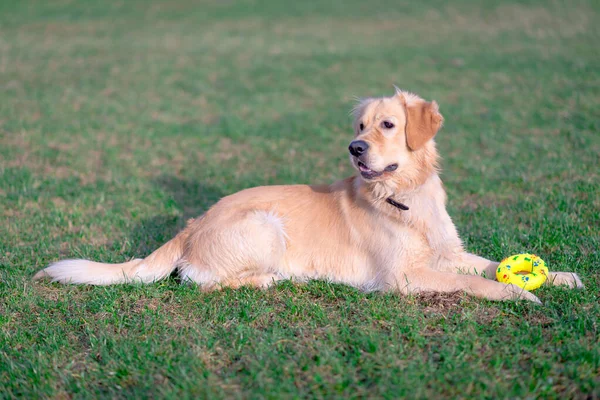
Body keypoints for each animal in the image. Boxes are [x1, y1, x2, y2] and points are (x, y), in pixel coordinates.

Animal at [32, 89, 580, 304]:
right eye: (359, 127)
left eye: (387, 125)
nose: (355, 149)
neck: (404, 196)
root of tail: (191, 224)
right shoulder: (403, 278)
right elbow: (474, 283)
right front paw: (519, 294)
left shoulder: (447, 251)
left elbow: (486, 264)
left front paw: (561, 276)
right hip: (264, 224)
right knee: (200, 282)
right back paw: (266, 280)